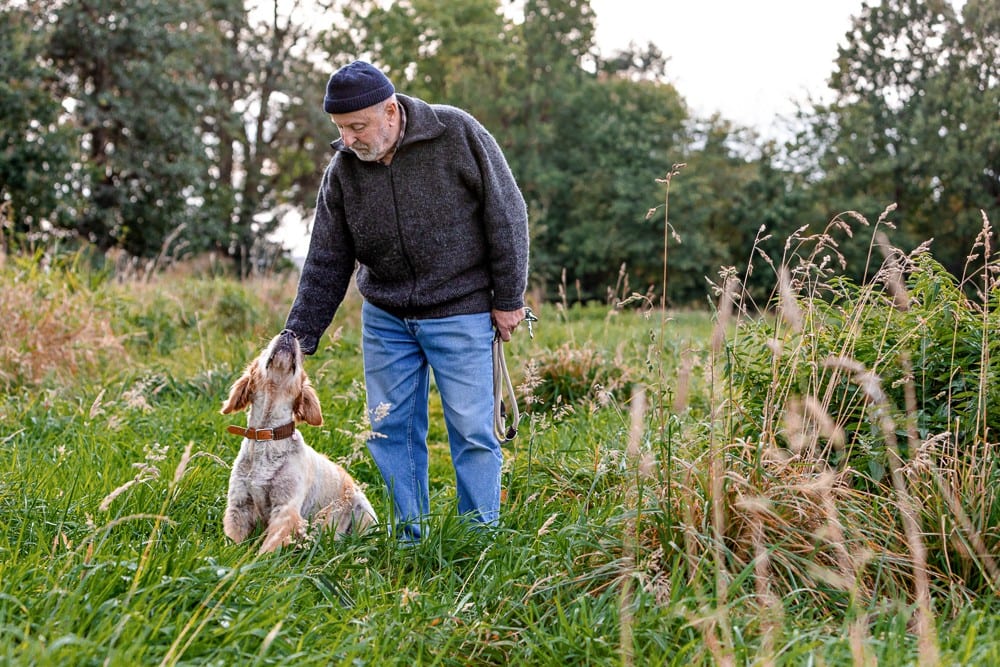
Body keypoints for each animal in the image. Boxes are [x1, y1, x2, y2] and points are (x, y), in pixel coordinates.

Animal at [221, 328, 376, 552]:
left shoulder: (286, 511)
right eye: (263, 351)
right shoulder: (239, 505)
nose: (289, 332)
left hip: (364, 514)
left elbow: (265, 552)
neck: (267, 436)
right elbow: (231, 545)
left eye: (302, 359)